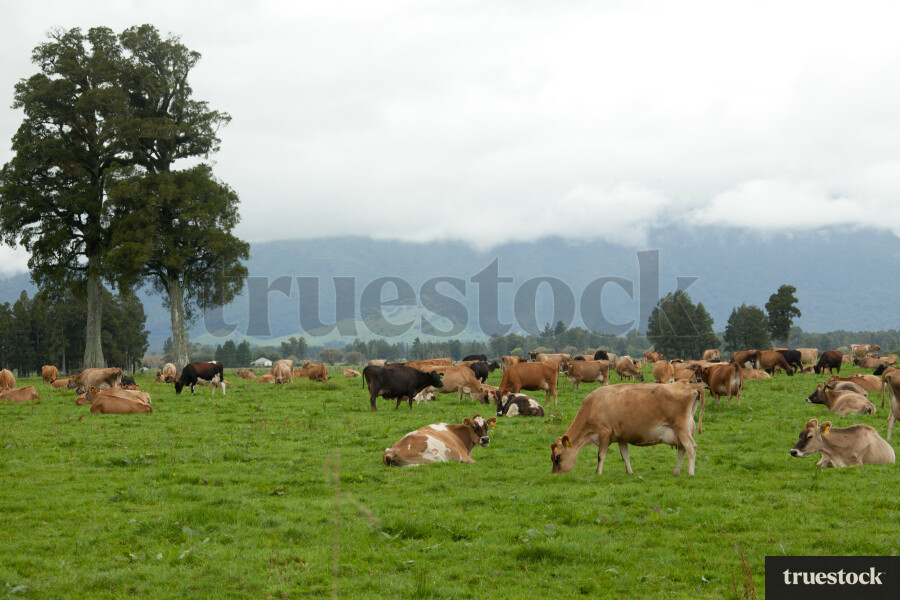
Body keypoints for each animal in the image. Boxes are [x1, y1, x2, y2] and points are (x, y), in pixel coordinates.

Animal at [550, 383, 701, 477]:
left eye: (557, 457)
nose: (554, 475)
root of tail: (691, 388)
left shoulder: (604, 432)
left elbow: (601, 455)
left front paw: (598, 473)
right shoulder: (620, 437)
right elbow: (625, 455)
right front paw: (630, 472)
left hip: (681, 428)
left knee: (691, 447)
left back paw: (690, 473)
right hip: (682, 431)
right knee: (682, 449)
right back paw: (676, 472)